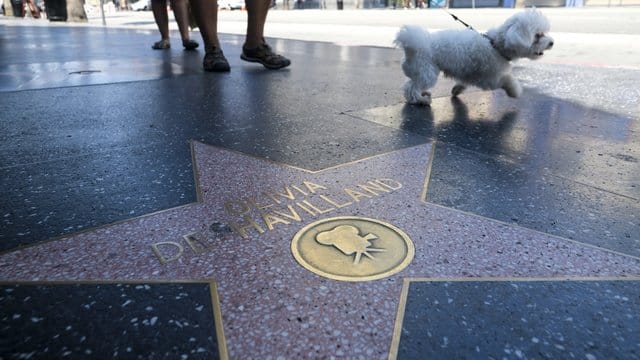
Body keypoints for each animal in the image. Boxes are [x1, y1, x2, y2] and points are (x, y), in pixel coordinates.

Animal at [392, 9, 552, 105]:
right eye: (538, 35)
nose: (552, 43)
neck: (496, 45)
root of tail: (415, 44)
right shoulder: (489, 78)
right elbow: (507, 79)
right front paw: (516, 91)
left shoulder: (469, 72)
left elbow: (464, 82)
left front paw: (457, 89)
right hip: (427, 71)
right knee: (411, 88)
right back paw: (421, 100)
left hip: (420, 71)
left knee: (412, 84)